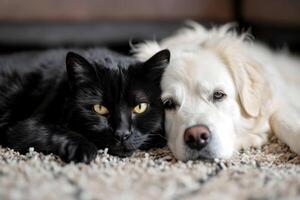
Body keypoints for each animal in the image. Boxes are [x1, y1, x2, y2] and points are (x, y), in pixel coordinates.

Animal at [0, 48, 170, 162]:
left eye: (140, 108)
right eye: (99, 108)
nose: (122, 134)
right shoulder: (25, 127)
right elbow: (55, 131)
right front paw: (84, 149)